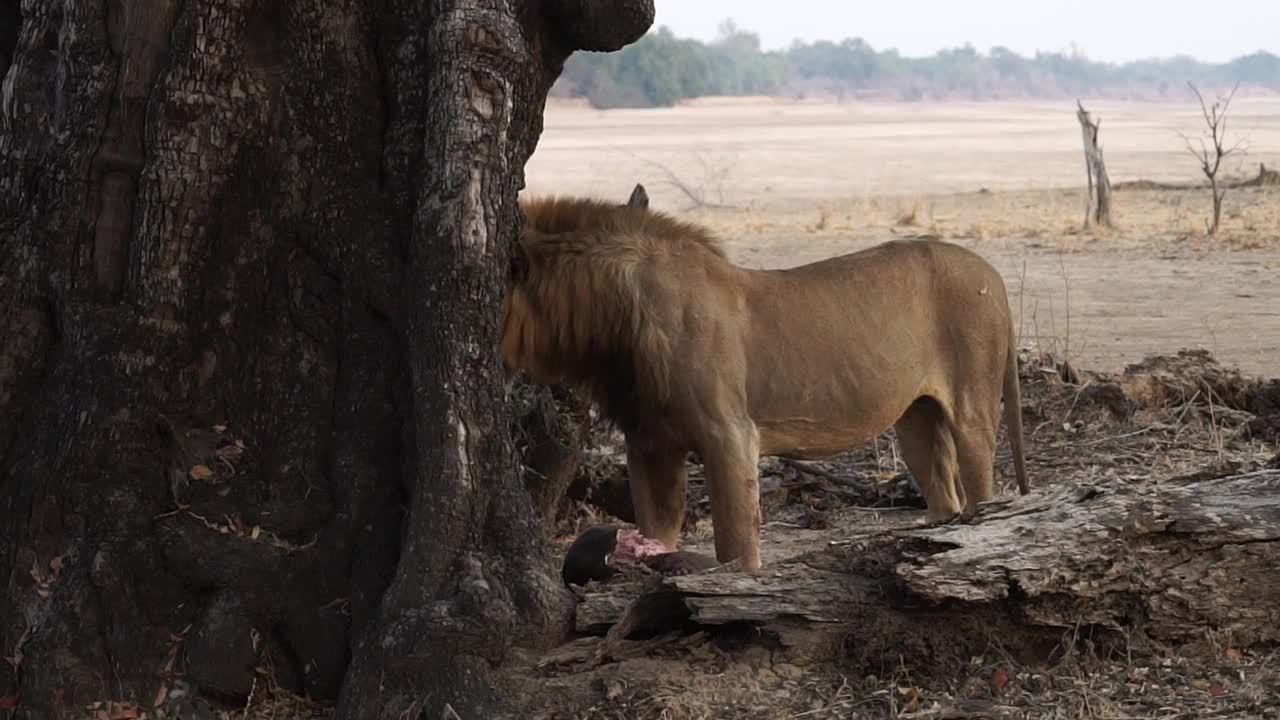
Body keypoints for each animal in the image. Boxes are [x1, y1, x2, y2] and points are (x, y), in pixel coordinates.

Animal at [501, 188, 1029, 568]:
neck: (606, 325)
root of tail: (993, 273)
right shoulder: (649, 444)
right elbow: (658, 526)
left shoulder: (729, 433)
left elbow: (735, 544)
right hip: (916, 417)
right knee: (943, 491)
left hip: (972, 401)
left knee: (982, 483)